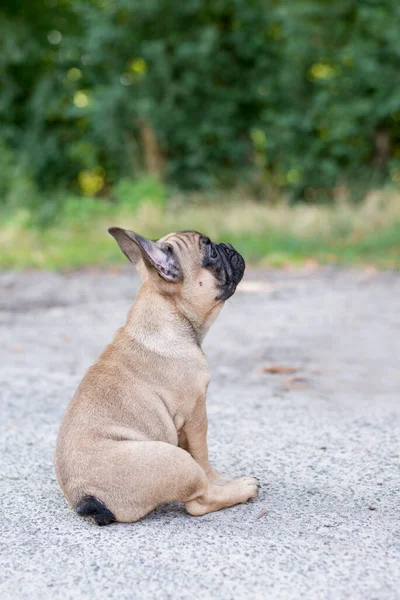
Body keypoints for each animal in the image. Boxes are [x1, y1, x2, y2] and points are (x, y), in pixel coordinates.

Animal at [55, 230, 260, 524]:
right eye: (211, 252)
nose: (228, 245)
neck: (168, 314)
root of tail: (86, 498)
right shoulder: (196, 412)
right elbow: (203, 457)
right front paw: (219, 479)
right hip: (175, 460)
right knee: (198, 502)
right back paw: (243, 489)